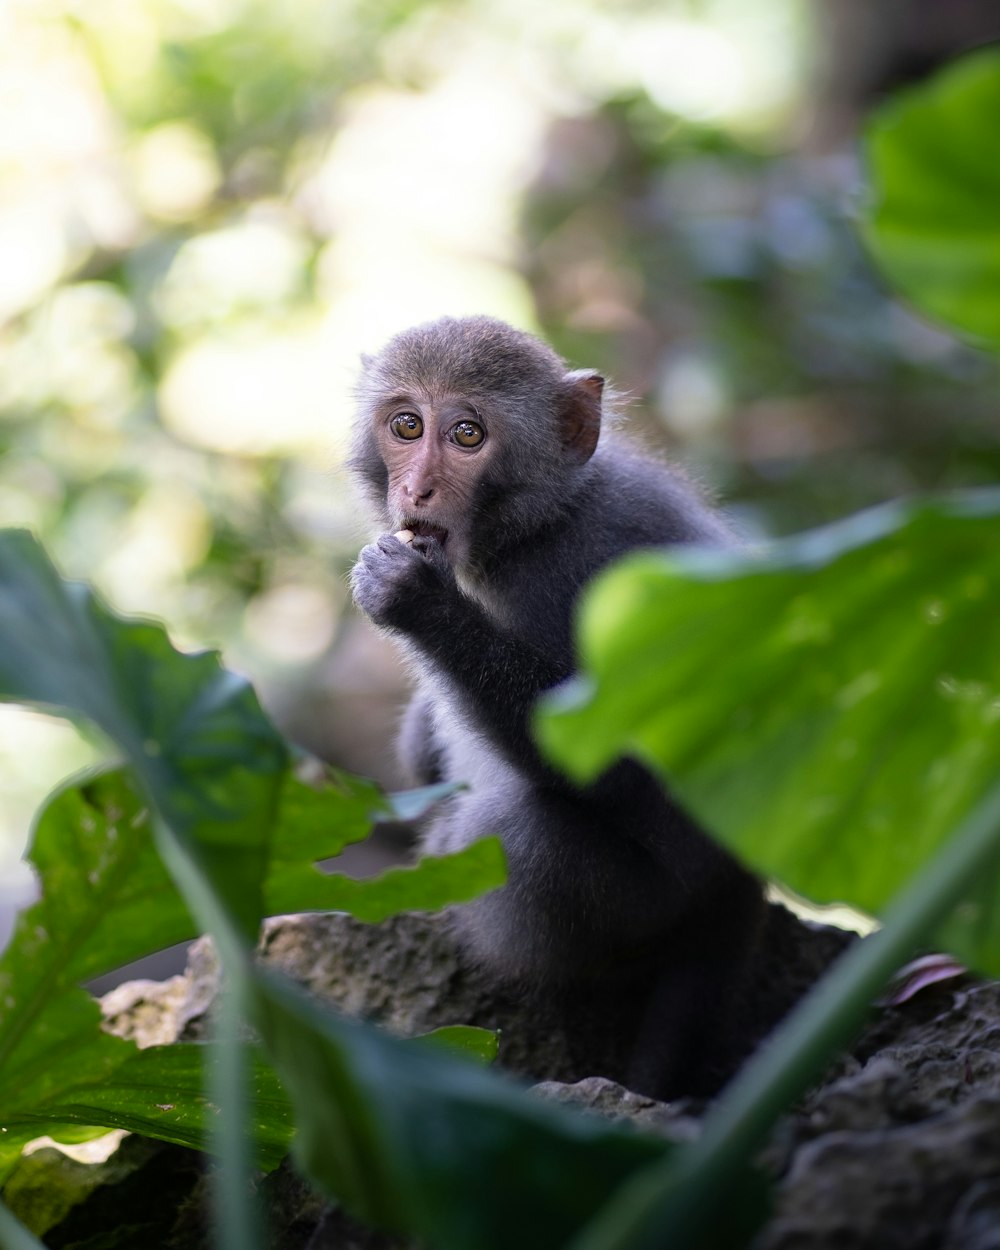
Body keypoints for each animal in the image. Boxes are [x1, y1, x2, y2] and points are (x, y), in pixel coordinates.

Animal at [347, 317, 760, 1100]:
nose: (417, 487)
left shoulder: (599, 571)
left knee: (522, 830)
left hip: (644, 904)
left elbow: (622, 767)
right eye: (407, 425)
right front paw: (418, 730)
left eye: (468, 435)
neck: (532, 529)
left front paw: (421, 604)